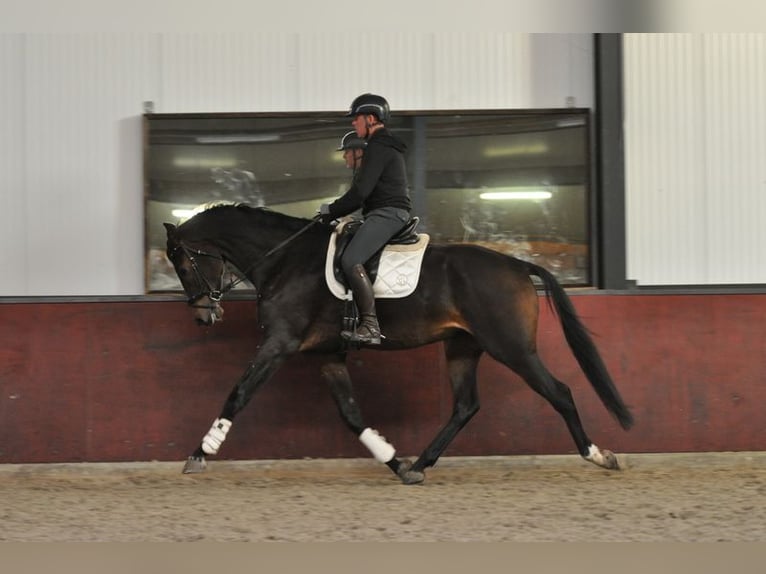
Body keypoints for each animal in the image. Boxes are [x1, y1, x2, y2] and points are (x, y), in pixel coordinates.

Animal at [166, 205, 636, 484]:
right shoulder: (327, 355)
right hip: (463, 347)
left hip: (512, 348)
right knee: (466, 406)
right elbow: (352, 415)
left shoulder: (279, 343)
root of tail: (517, 263)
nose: (203, 315)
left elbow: (238, 394)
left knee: (559, 392)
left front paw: (200, 454)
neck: (284, 260)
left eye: (183, 265)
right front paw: (394, 460)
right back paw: (420, 464)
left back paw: (599, 455)